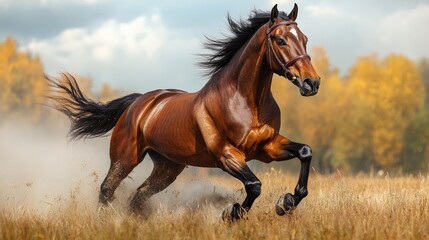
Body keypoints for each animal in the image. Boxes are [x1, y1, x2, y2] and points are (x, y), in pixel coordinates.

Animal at [49, 4, 318, 221]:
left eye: (305, 39)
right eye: (281, 41)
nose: (311, 83)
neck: (245, 101)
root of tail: (139, 103)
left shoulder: (266, 148)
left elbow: (305, 152)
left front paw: (287, 202)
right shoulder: (226, 155)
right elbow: (254, 185)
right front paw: (231, 213)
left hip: (167, 167)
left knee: (138, 196)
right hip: (125, 158)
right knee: (107, 189)